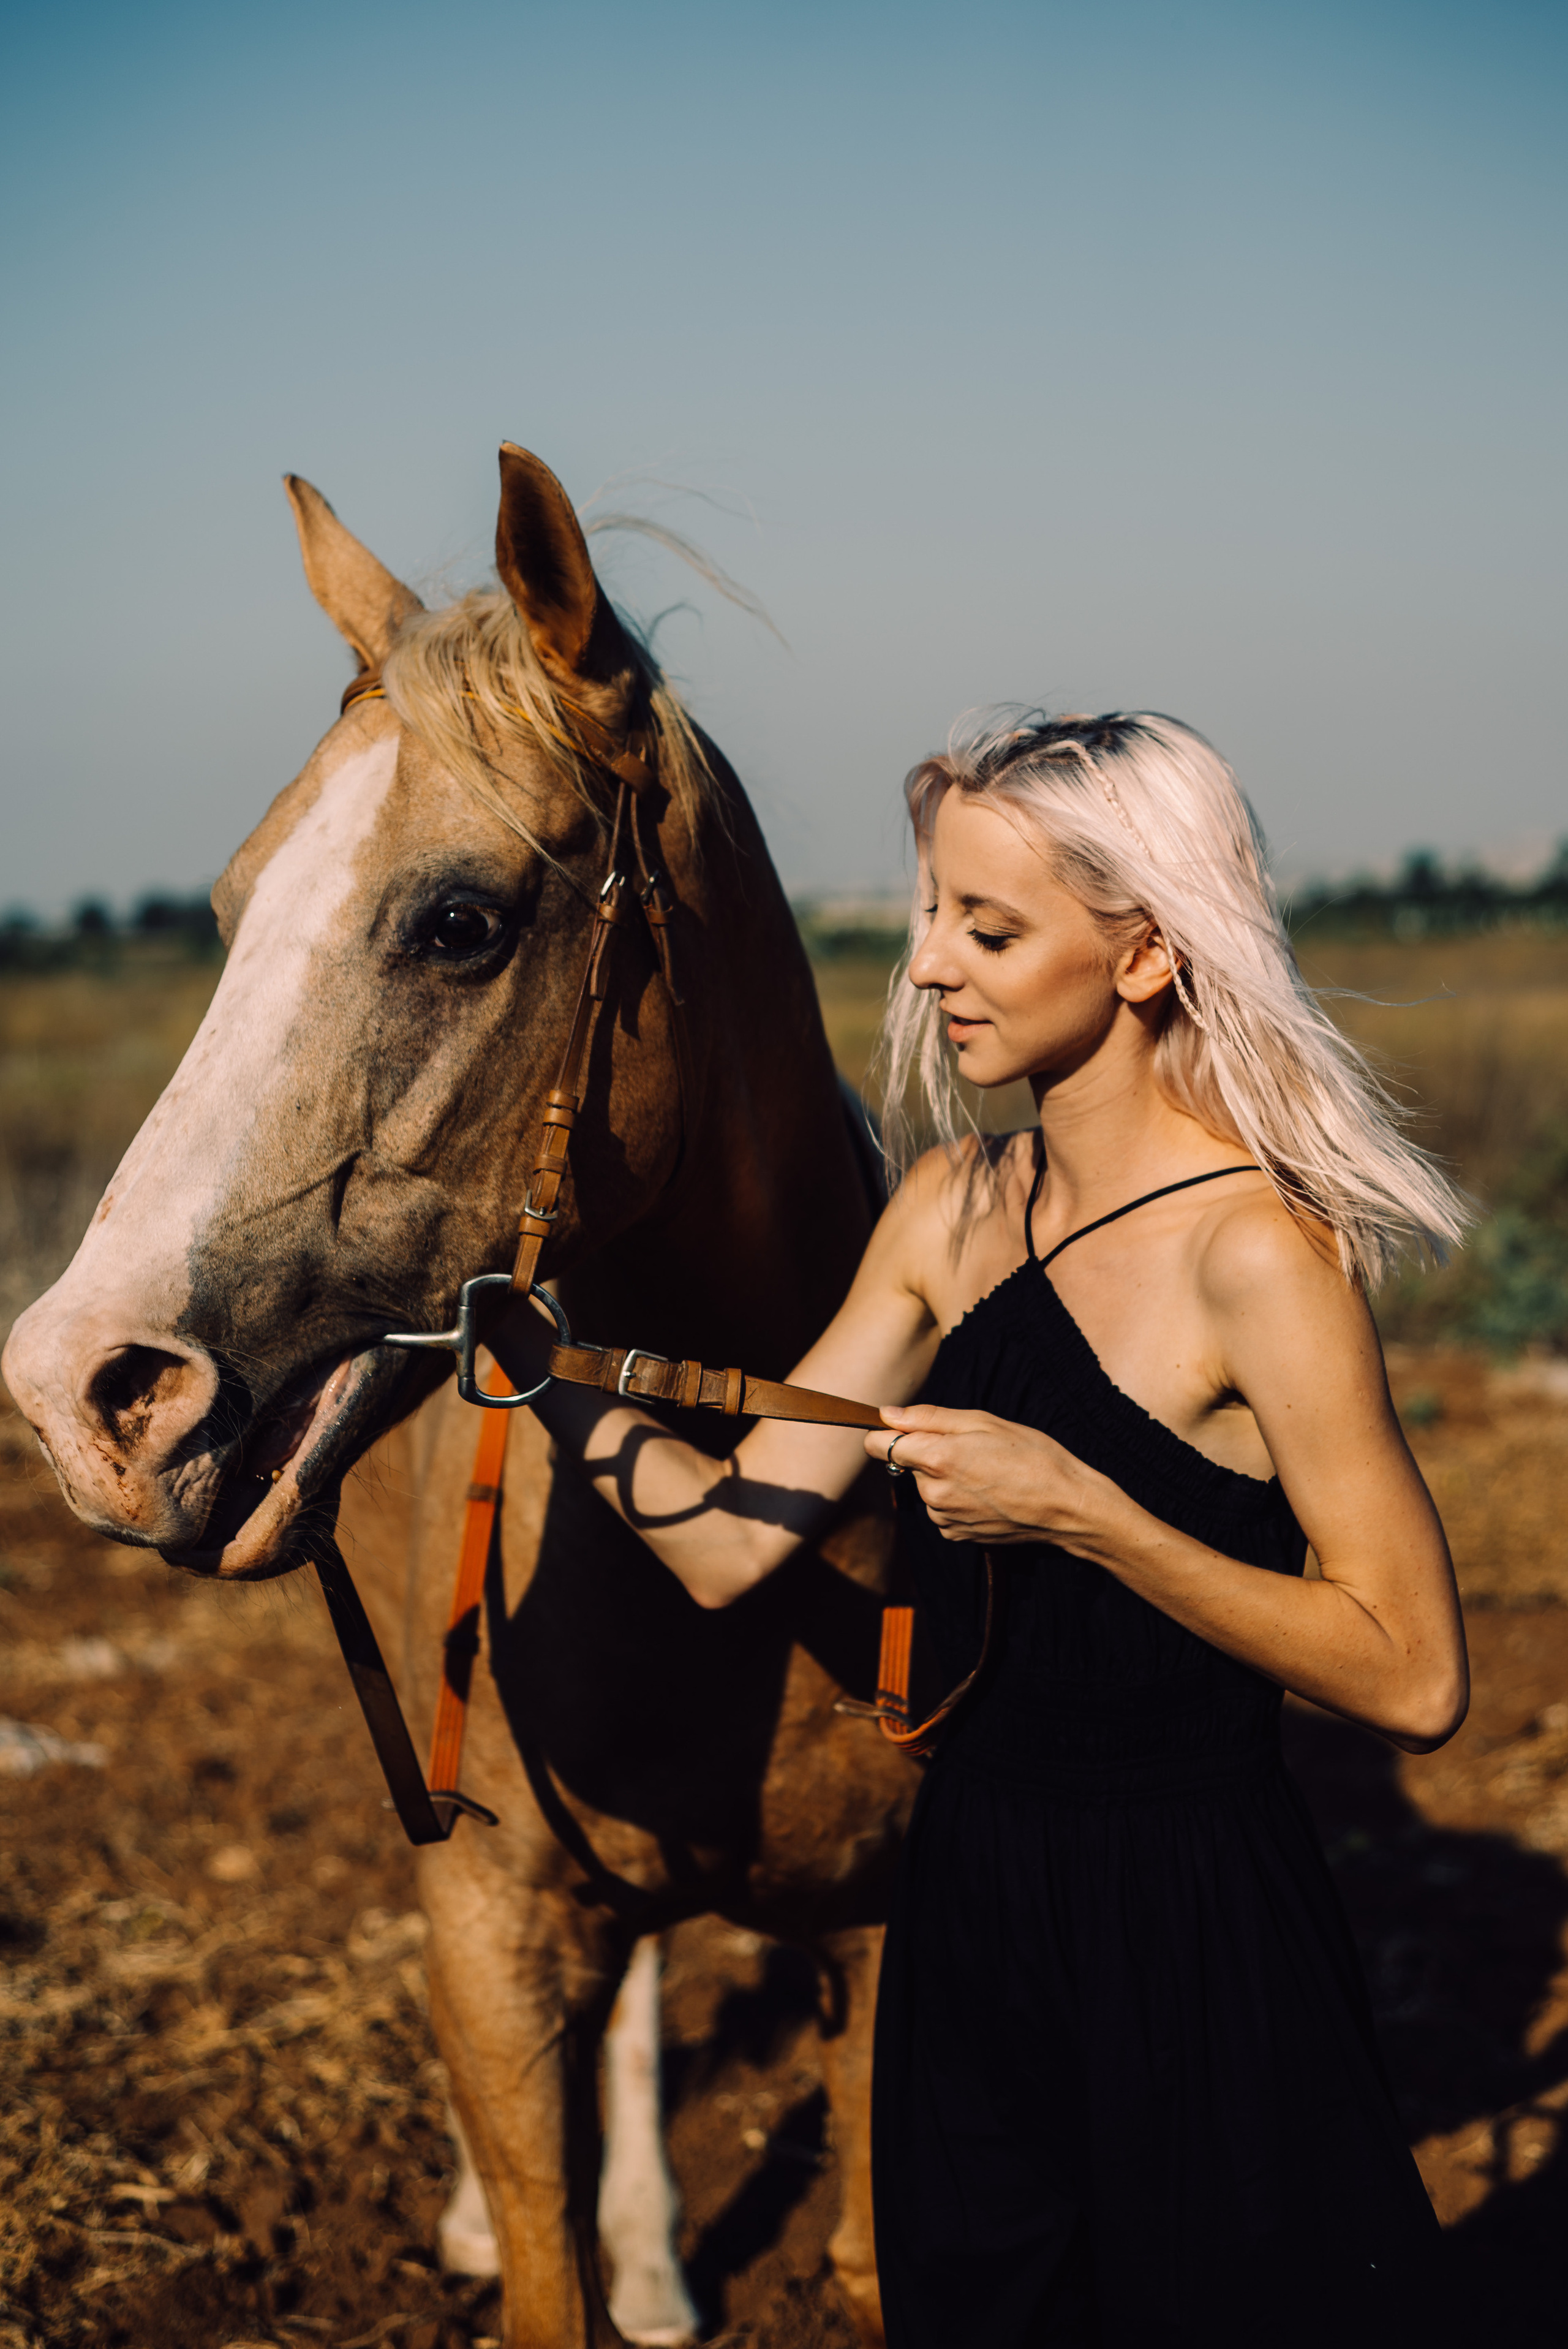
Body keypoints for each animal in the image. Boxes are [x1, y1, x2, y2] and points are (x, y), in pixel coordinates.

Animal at [2, 445, 918, 2347]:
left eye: (458, 921)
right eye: (226, 909)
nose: (79, 1390)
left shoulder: (891, 1956)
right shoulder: (489, 1935)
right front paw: (546, 2240)